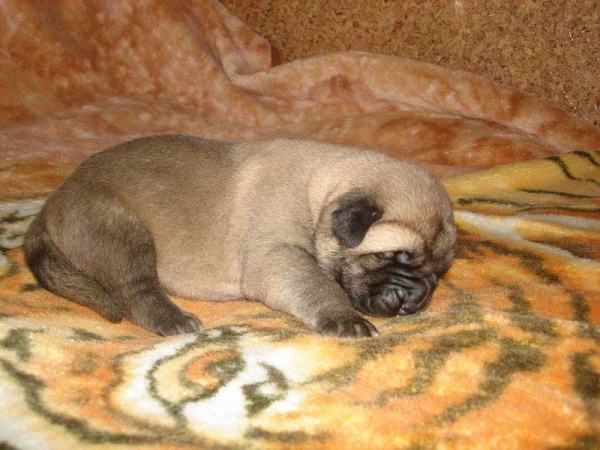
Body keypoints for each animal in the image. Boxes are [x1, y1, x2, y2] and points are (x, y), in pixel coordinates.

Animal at [22, 136, 454, 338]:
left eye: (439, 273)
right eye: (396, 257)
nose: (418, 295)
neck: (321, 193)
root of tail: (56, 199)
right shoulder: (279, 257)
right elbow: (318, 284)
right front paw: (344, 318)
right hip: (123, 233)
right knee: (135, 291)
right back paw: (172, 319)